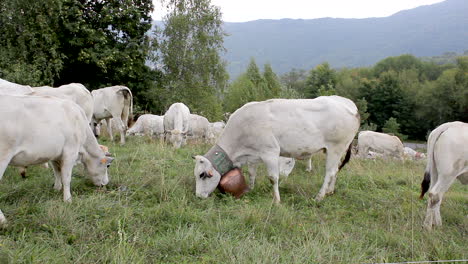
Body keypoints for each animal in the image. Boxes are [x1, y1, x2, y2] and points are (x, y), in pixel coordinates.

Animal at [0, 94, 113, 225]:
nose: (105, 183)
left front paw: (56, 189)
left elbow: (57, 172)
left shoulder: (55, 155)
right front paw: (68, 199)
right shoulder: (70, 152)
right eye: (108, 166)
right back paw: (3, 221)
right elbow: (66, 178)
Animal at [192, 96, 360, 201]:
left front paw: (277, 200)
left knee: (330, 172)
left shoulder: (270, 152)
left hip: (336, 147)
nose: (198, 196)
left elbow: (273, 178)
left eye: (202, 175)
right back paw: (330, 191)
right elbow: (251, 173)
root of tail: (350, 108)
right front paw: (251, 189)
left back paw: (319, 196)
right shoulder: (253, 155)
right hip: (339, 149)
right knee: (336, 170)